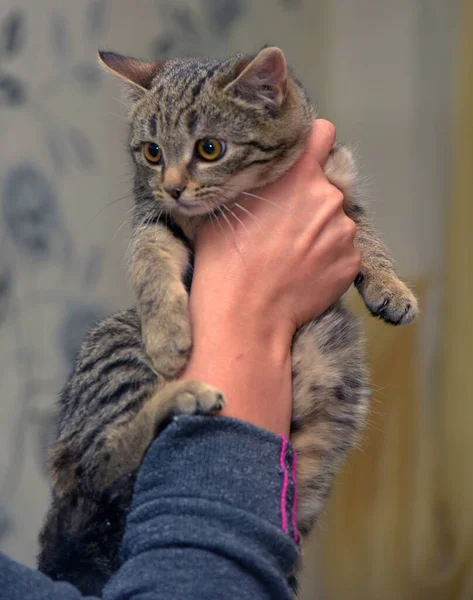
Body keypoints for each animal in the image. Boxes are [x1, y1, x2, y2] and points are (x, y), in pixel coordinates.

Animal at [39, 48, 416, 596]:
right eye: (152, 152)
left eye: (210, 148)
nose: (173, 187)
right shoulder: (153, 217)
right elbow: (148, 260)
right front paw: (168, 331)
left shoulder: (341, 186)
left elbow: (366, 236)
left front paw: (391, 287)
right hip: (115, 353)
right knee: (100, 465)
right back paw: (181, 396)